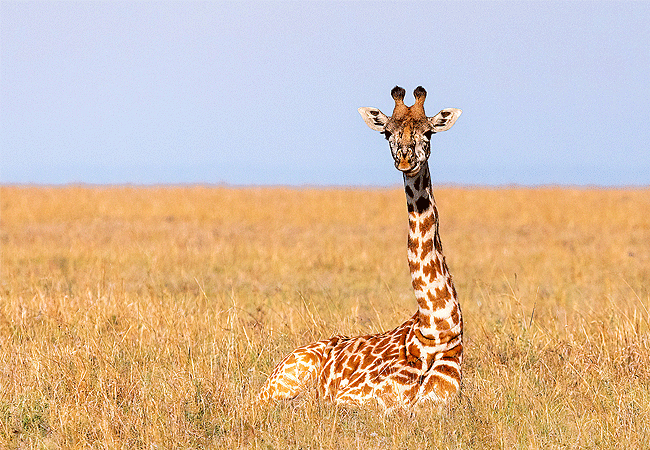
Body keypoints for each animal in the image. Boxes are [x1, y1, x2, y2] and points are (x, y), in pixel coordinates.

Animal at [258, 86, 463, 410]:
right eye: (387, 132)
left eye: (429, 132)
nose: (405, 159)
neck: (437, 329)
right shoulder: (354, 398)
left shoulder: (438, 403)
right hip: (281, 383)